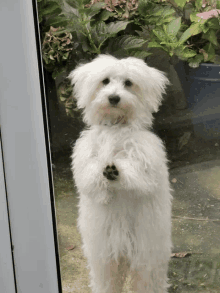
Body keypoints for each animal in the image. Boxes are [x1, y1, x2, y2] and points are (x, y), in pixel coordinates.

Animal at [69, 55, 173, 292]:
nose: (114, 98)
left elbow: (139, 178)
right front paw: (106, 175)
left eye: (128, 83)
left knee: (147, 280)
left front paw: (116, 170)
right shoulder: (86, 162)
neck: (116, 126)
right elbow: (91, 180)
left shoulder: (145, 160)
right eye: (105, 81)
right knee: (107, 279)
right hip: (104, 256)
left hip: (147, 253)